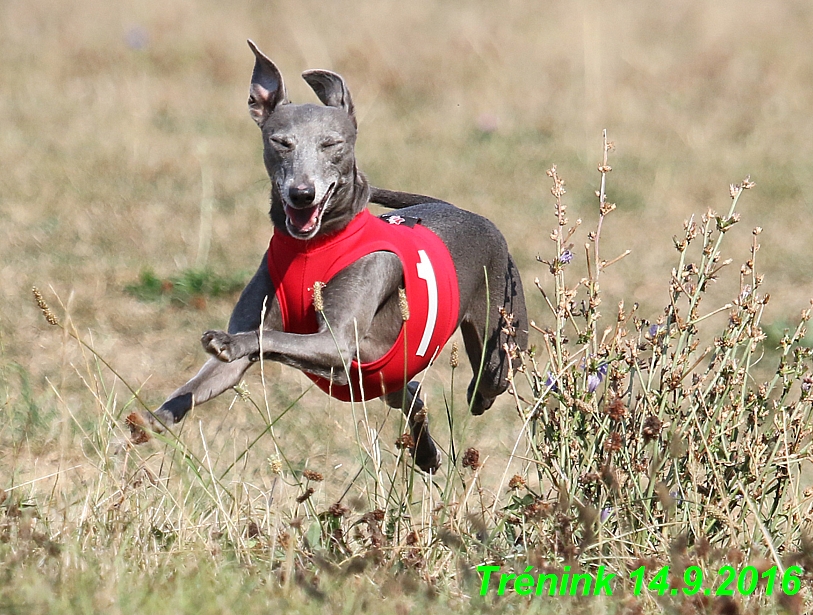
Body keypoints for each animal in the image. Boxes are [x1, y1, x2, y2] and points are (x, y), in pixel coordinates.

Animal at [128, 41, 528, 474]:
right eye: (280, 142)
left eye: (332, 143)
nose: (302, 194)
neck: (314, 245)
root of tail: (460, 209)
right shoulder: (251, 359)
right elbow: (206, 379)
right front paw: (147, 422)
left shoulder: (335, 344)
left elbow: (269, 337)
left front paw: (226, 341)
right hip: (389, 376)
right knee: (410, 392)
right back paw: (426, 450)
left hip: (502, 336)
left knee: (488, 378)